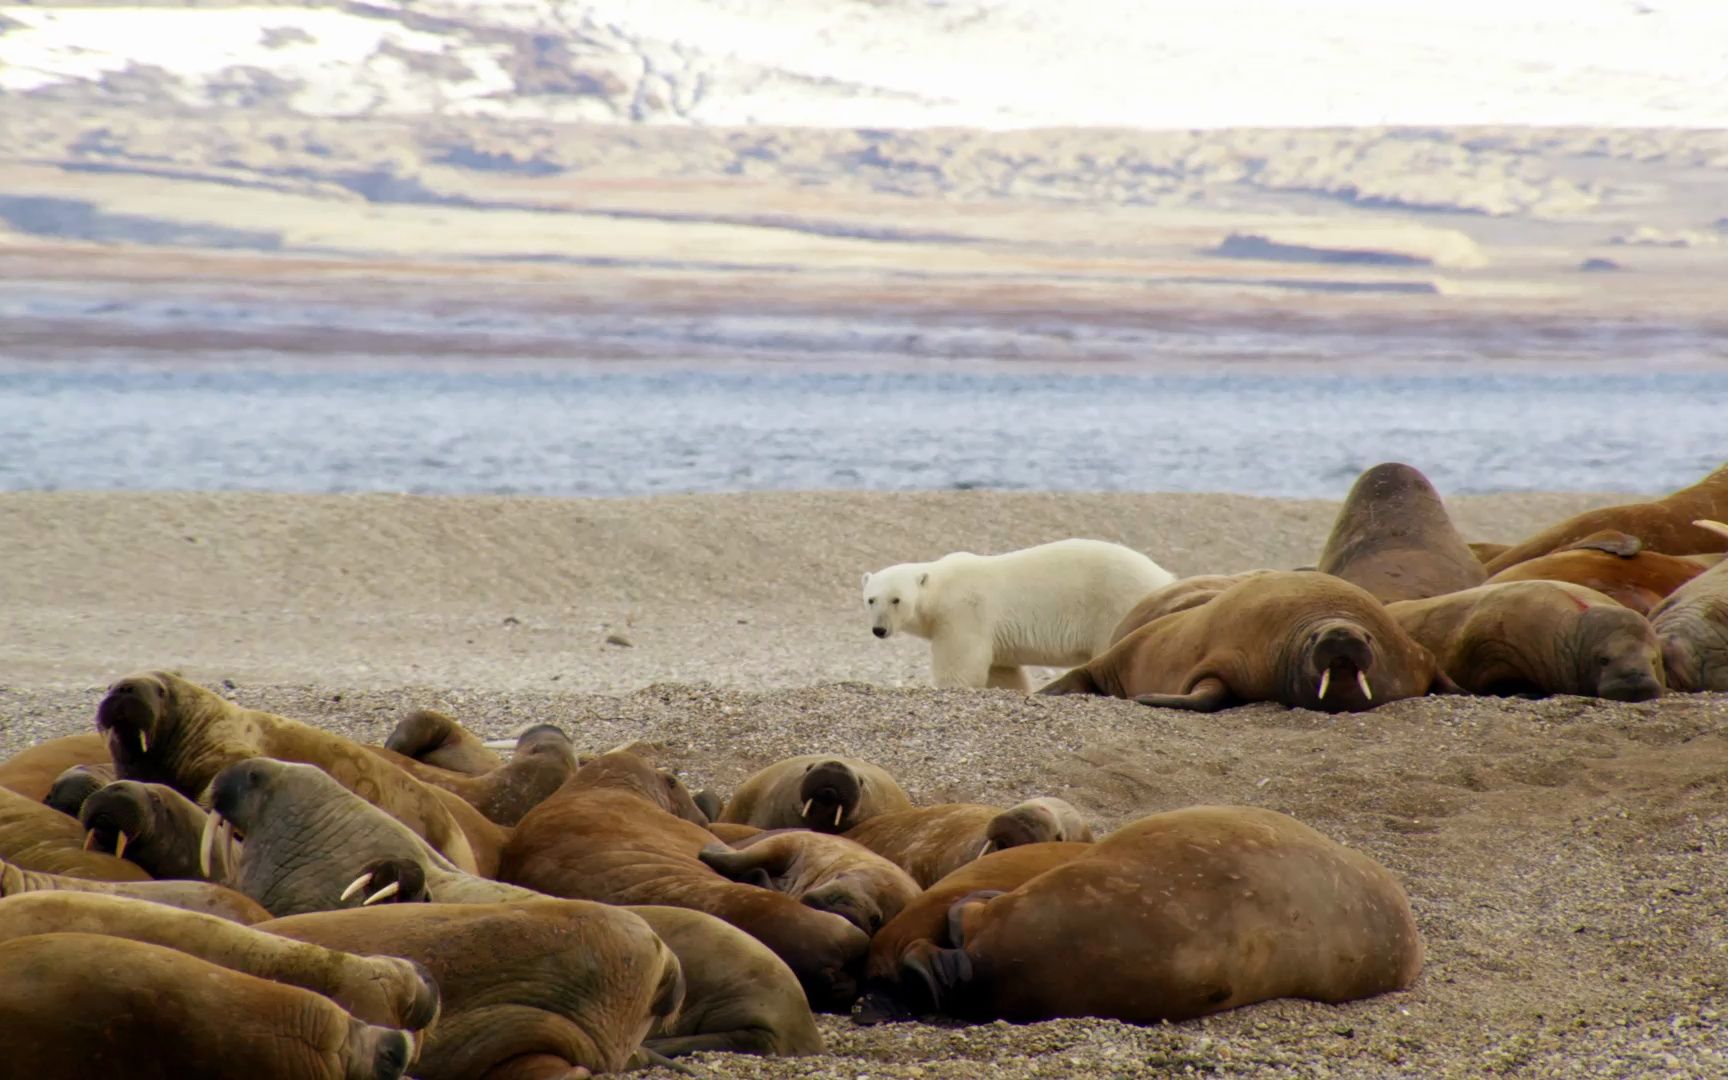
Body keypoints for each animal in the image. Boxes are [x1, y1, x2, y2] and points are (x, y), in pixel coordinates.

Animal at [860, 535, 1175, 687]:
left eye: (896, 599)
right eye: (871, 599)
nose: (879, 629)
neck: (941, 587)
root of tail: (1165, 577)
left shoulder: (964, 613)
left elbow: (961, 663)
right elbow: (1001, 671)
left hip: (1117, 605)